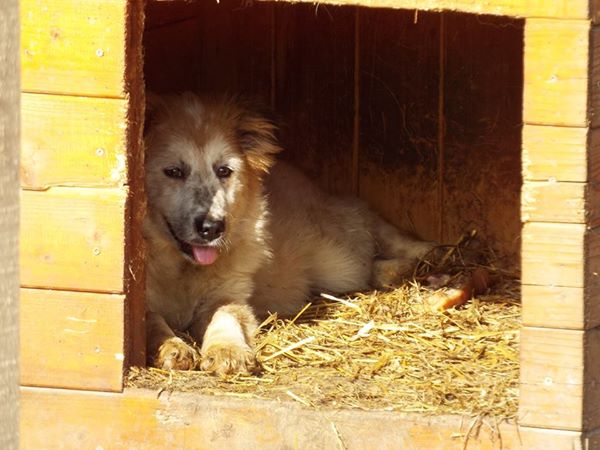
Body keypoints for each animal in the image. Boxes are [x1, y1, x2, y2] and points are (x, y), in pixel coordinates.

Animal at [143, 92, 434, 376]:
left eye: (223, 171)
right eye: (173, 171)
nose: (213, 228)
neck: (182, 270)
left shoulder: (229, 293)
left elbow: (225, 317)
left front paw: (229, 352)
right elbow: (151, 320)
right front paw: (172, 347)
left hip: (339, 257)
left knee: (374, 229)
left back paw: (428, 254)